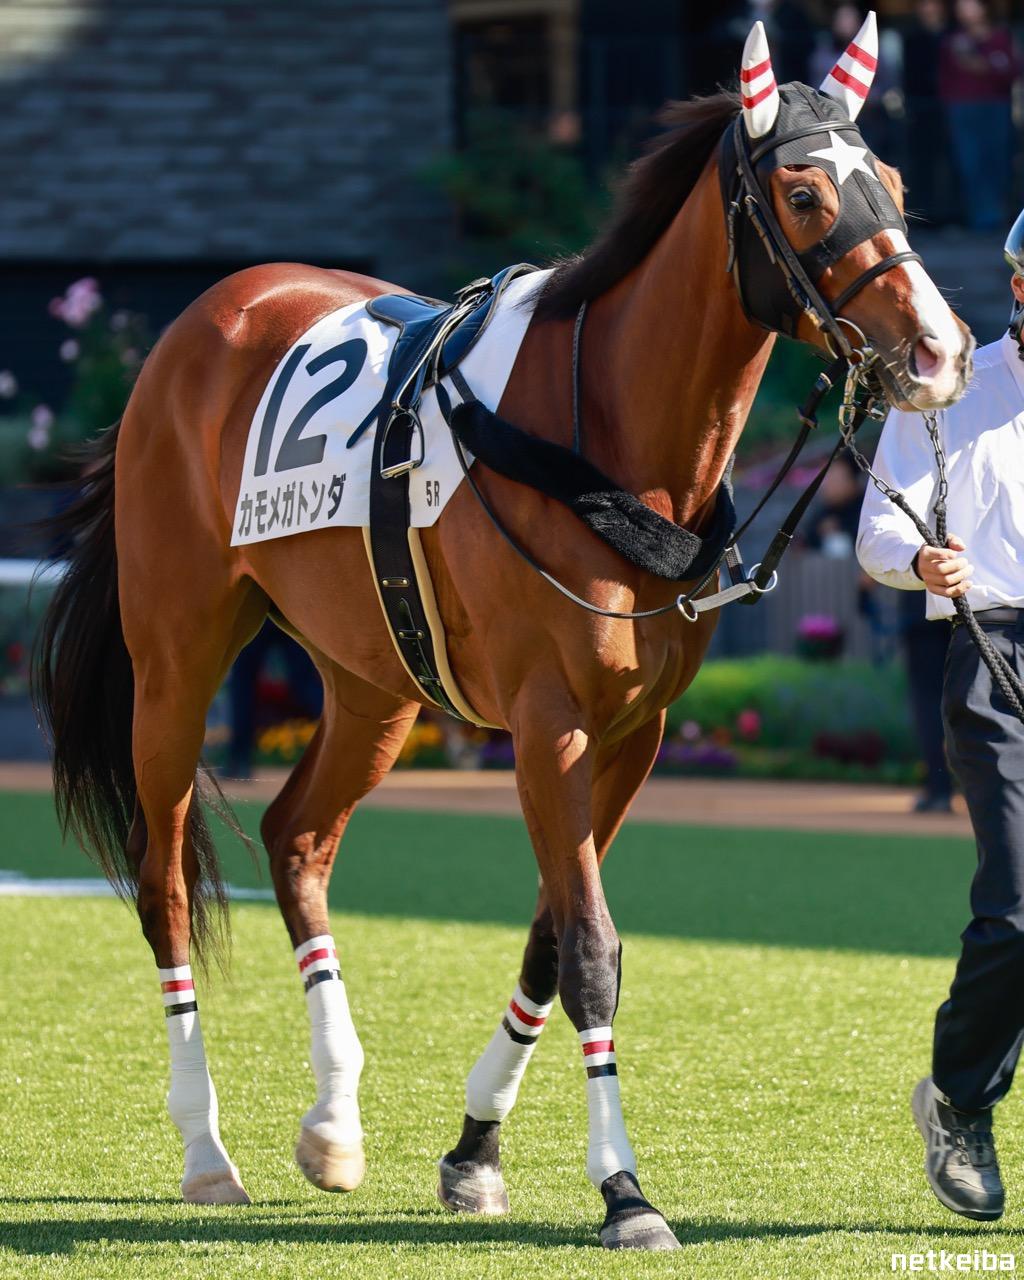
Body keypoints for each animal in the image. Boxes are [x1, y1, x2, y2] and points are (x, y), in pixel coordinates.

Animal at [33, 16, 972, 1251]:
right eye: (808, 194)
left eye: (899, 187)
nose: (942, 352)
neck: (608, 437)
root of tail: (201, 319)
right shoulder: (547, 724)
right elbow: (592, 949)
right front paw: (624, 1188)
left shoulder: (632, 731)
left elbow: (549, 930)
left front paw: (475, 1149)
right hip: (177, 657)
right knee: (164, 883)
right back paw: (204, 1148)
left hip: (374, 679)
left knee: (298, 837)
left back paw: (333, 1120)